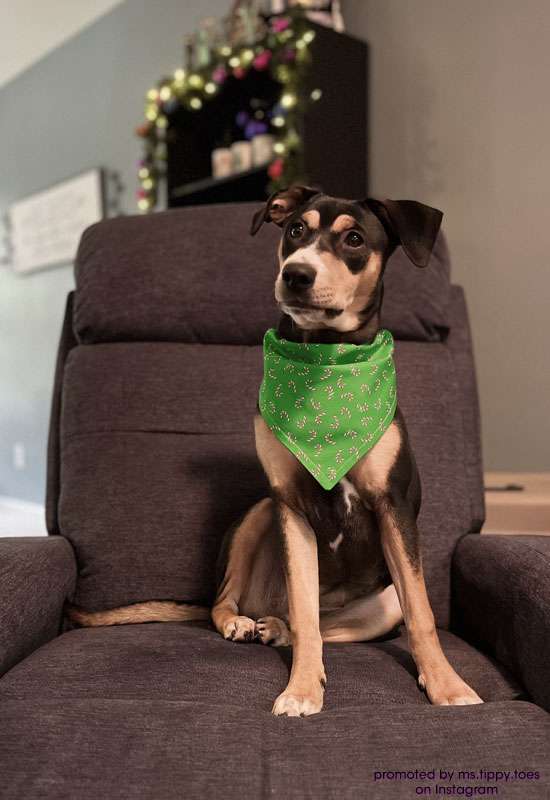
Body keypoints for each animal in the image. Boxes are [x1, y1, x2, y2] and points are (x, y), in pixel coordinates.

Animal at [68, 188, 484, 720]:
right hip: (258, 515)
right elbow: (306, 614)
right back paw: (242, 622)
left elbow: (422, 613)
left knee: (328, 621)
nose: (297, 274)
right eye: (295, 230)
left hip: (380, 598)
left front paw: (447, 686)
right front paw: (302, 689)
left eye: (354, 239)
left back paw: (275, 627)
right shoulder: (290, 505)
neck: (325, 364)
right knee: (233, 602)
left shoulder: (394, 507)